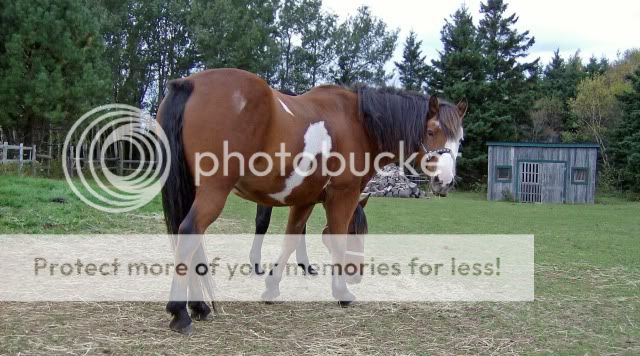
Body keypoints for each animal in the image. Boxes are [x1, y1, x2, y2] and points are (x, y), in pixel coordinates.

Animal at [155, 68, 464, 336]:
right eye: (432, 131)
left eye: (459, 138)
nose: (446, 180)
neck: (357, 122)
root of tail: (190, 83)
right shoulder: (343, 196)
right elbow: (335, 238)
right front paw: (342, 292)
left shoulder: (304, 200)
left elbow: (291, 239)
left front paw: (272, 287)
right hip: (214, 190)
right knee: (189, 232)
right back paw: (180, 312)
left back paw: (199, 306)